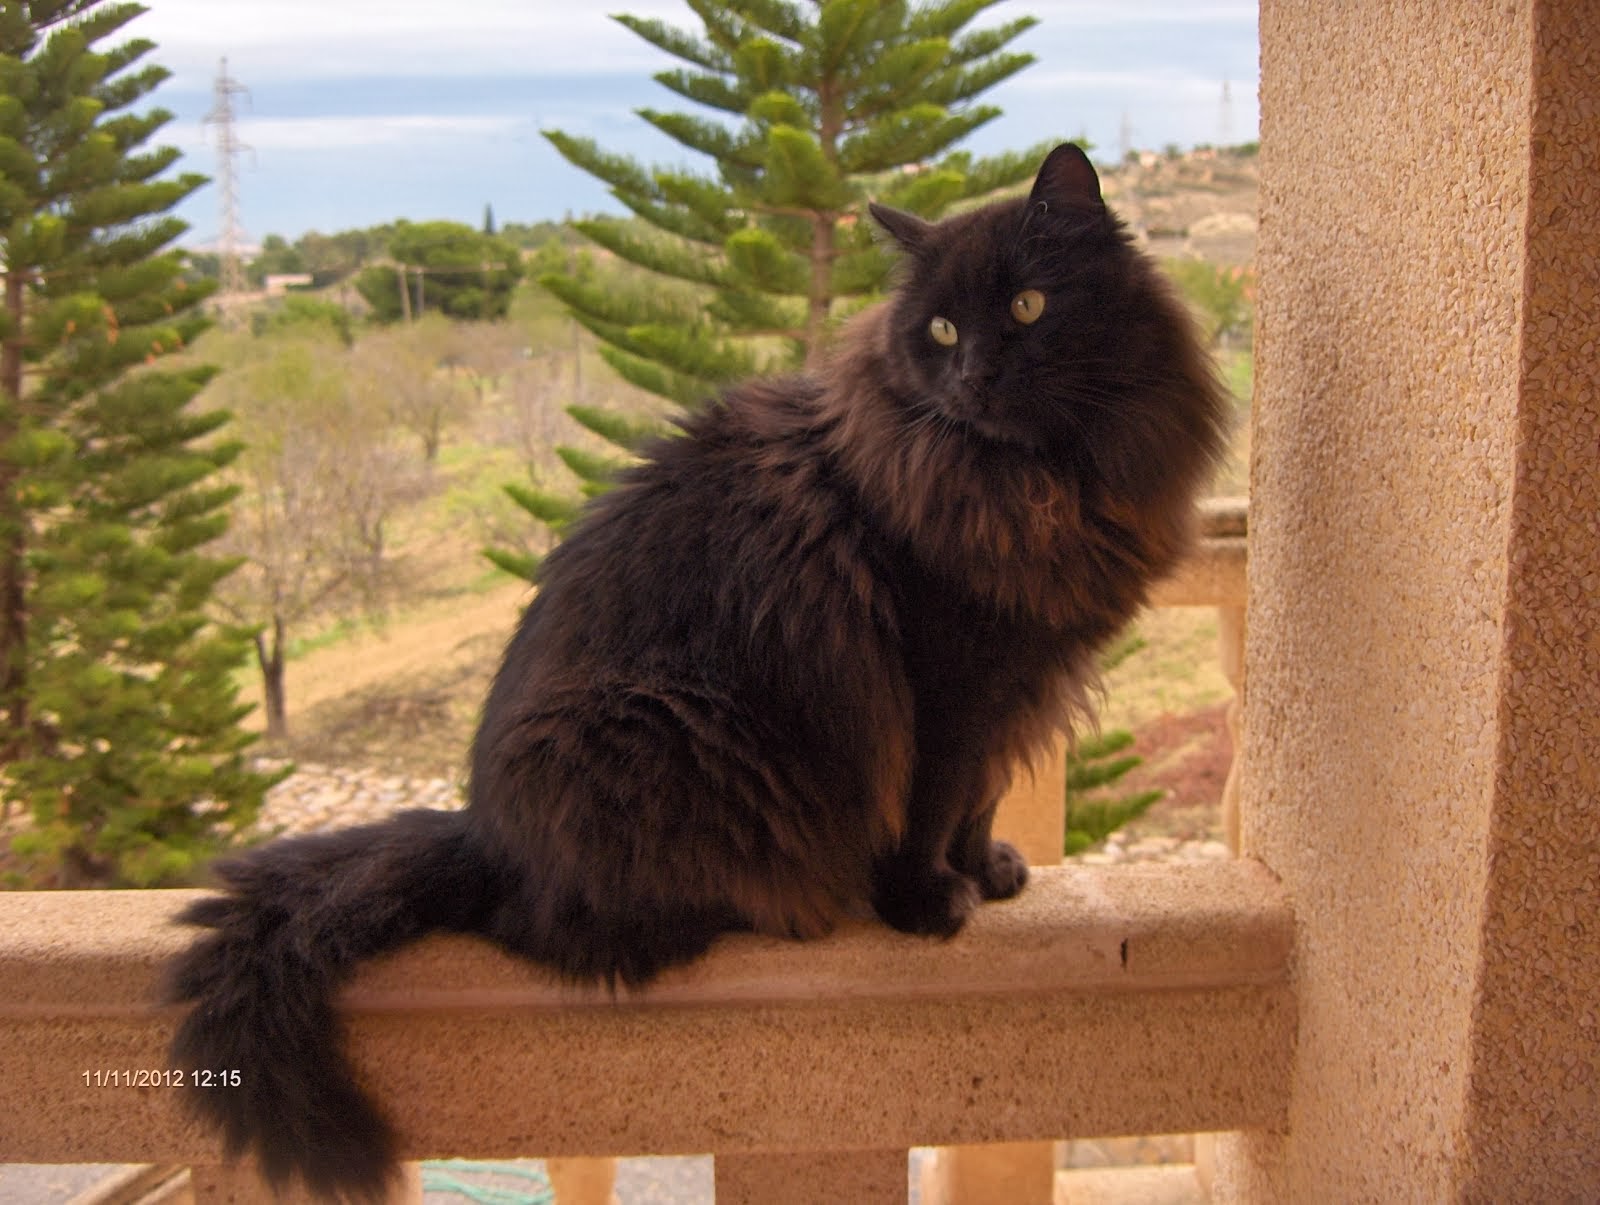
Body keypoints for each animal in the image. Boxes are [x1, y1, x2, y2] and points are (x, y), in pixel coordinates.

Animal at [168, 145, 1228, 1196]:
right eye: (940, 329)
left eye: (1027, 307)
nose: (971, 373)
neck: (1035, 483)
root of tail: (484, 833)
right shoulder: (948, 681)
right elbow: (931, 803)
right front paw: (926, 902)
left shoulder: (1019, 682)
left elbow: (981, 798)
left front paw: (989, 871)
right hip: (661, 727)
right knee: (555, 929)